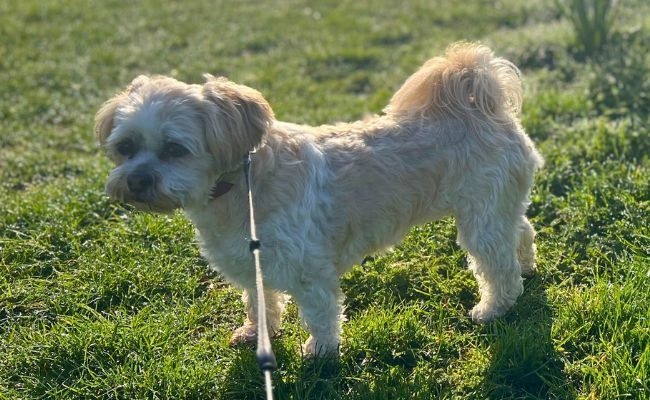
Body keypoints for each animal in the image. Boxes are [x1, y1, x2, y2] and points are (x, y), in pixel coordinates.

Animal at [93, 43, 540, 356]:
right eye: (126, 147)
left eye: (174, 149)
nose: (137, 180)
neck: (241, 187)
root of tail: (485, 109)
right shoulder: (251, 263)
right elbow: (259, 302)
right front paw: (256, 333)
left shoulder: (309, 269)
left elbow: (321, 312)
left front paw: (321, 351)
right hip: (500, 207)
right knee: (522, 231)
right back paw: (527, 265)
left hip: (481, 218)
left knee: (497, 268)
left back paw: (494, 308)